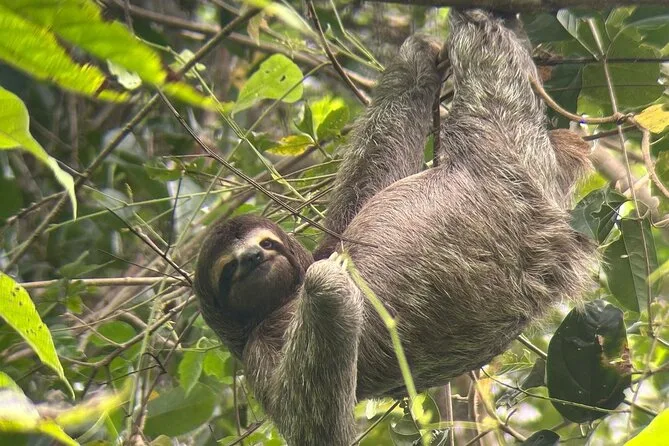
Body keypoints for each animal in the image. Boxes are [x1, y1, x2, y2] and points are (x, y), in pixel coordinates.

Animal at [194, 9, 593, 445]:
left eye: (267, 244)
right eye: (229, 268)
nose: (252, 257)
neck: (282, 300)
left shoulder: (324, 245)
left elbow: (369, 178)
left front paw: (416, 57)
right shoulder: (257, 356)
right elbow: (314, 424)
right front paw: (329, 282)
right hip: (500, 159)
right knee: (491, 76)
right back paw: (484, 22)